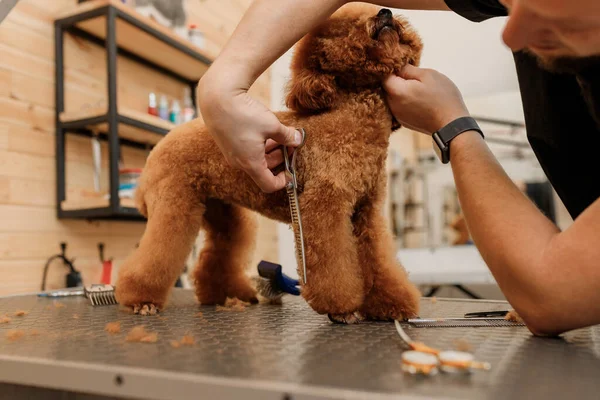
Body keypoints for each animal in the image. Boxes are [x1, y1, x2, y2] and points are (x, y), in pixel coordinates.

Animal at [116, 3, 422, 324]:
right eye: (345, 27)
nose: (385, 13)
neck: (350, 119)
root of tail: (158, 147)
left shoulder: (366, 210)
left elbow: (377, 259)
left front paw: (390, 304)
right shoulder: (324, 206)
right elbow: (332, 263)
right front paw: (342, 308)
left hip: (220, 211)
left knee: (218, 252)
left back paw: (224, 295)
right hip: (173, 204)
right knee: (156, 252)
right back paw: (140, 299)